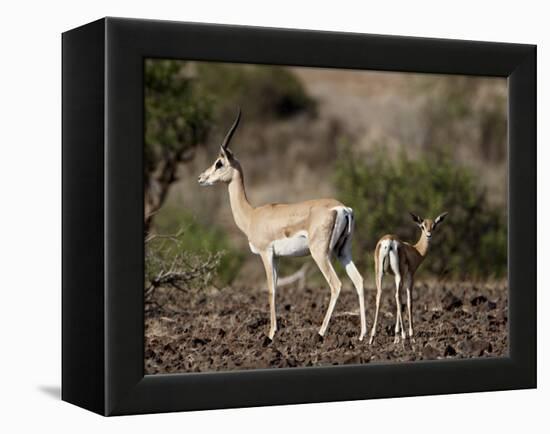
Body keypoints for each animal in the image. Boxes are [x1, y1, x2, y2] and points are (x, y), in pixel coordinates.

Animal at [196, 110, 368, 340]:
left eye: (219, 163)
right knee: (359, 281)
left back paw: (321, 332)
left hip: (320, 254)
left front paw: (270, 334)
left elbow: (271, 289)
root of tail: (342, 208)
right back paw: (365, 335)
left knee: (336, 284)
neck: (252, 215)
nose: (201, 178)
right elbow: (277, 289)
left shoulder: (265, 253)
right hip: (343, 251)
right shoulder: (277, 257)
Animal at [370, 212, 448, 344]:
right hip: (398, 275)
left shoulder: (394, 277)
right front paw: (410, 335)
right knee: (398, 297)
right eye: (422, 226)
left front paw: (396, 336)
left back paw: (372, 337)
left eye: (434, 226)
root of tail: (389, 241)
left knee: (380, 295)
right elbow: (409, 301)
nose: (429, 235)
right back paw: (405, 335)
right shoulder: (410, 276)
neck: (415, 251)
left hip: (380, 273)